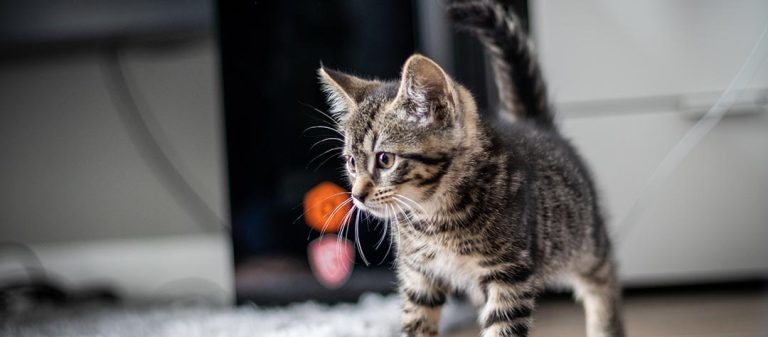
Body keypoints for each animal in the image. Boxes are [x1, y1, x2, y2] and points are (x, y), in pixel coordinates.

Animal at [318, 0, 624, 336]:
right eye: (351, 162)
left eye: (385, 159)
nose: (357, 195)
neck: (434, 217)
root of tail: (536, 126)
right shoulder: (419, 276)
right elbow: (417, 323)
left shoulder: (508, 275)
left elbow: (502, 327)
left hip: (582, 239)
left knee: (603, 275)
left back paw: (605, 325)